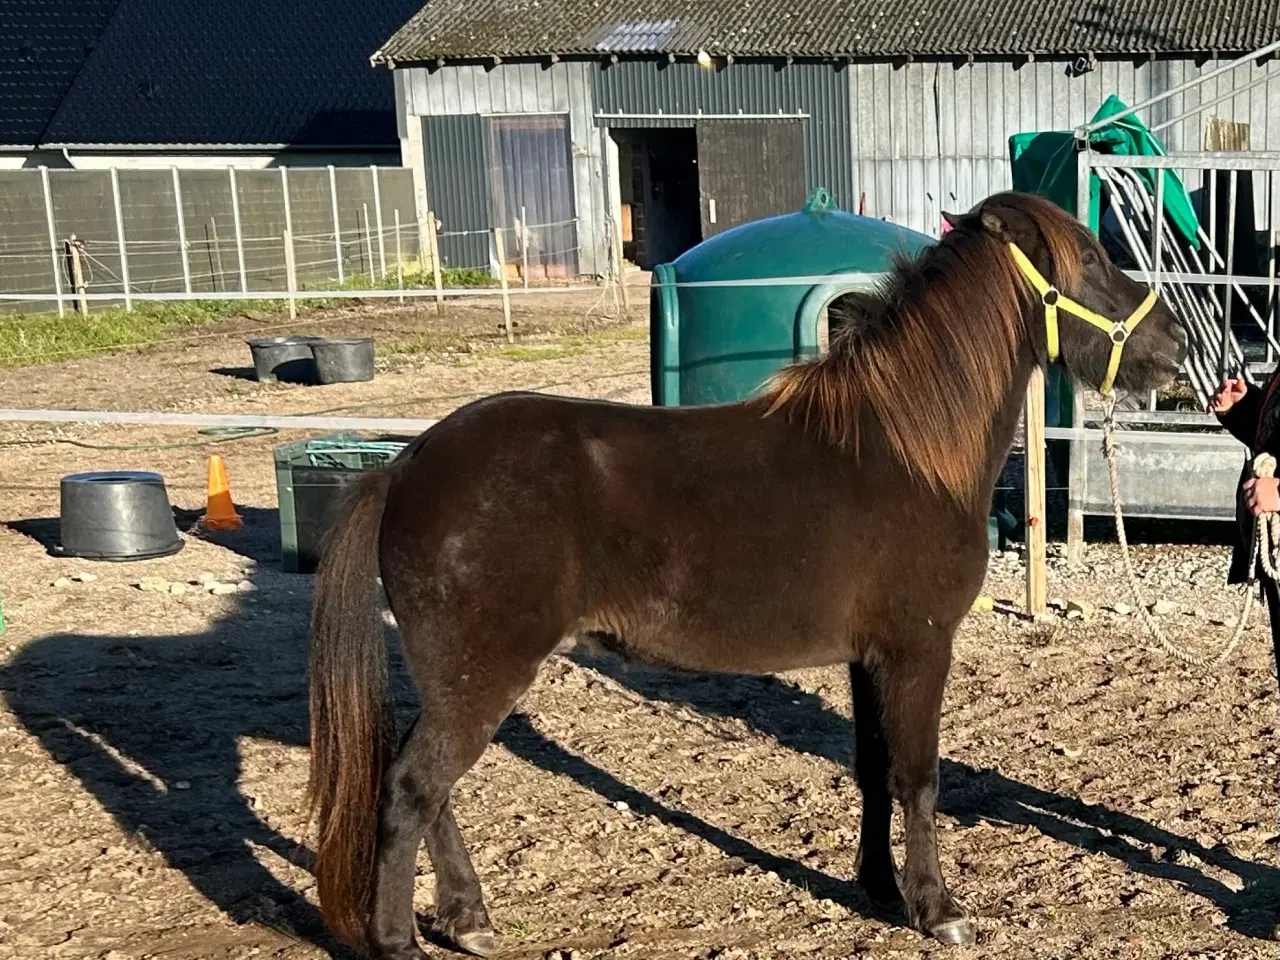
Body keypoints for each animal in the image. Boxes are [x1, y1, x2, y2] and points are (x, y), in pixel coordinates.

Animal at [307, 192, 1187, 957]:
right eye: (1093, 259)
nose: (1174, 344)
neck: (905, 451)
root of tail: (407, 466)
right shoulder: (918, 648)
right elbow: (919, 777)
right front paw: (938, 910)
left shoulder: (868, 657)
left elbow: (873, 772)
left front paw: (877, 887)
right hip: (479, 676)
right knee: (410, 790)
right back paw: (401, 940)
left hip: (458, 681)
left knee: (434, 793)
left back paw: (470, 921)